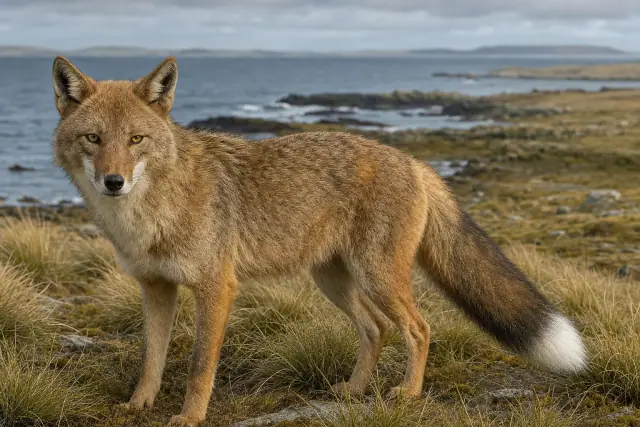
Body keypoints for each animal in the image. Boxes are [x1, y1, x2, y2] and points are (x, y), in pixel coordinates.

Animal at [51, 56, 586, 426]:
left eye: (136, 140)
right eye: (94, 139)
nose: (114, 182)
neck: (151, 213)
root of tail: (412, 160)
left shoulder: (217, 288)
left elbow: (200, 366)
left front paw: (190, 417)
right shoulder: (156, 288)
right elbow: (152, 359)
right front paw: (138, 404)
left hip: (377, 279)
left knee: (419, 328)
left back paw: (408, 394)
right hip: (334, 282)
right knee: (376, 329)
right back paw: (353, 389)